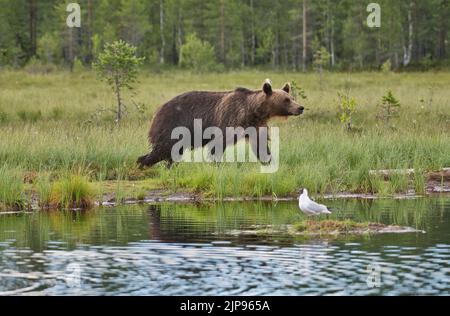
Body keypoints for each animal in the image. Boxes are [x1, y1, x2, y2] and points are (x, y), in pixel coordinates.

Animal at [137, 79, 304, 168]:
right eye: (286, 99)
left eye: (292, 97)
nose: (300, 107)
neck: (253, 112)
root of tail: (157, 111)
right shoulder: (227, 121)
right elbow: (217, 146)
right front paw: (216, 164)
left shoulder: (257, 127)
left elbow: (261, 146)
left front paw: (269, 162)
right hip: (171, 127)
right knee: (163, 149)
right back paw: (142, 163)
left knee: (171, 153)